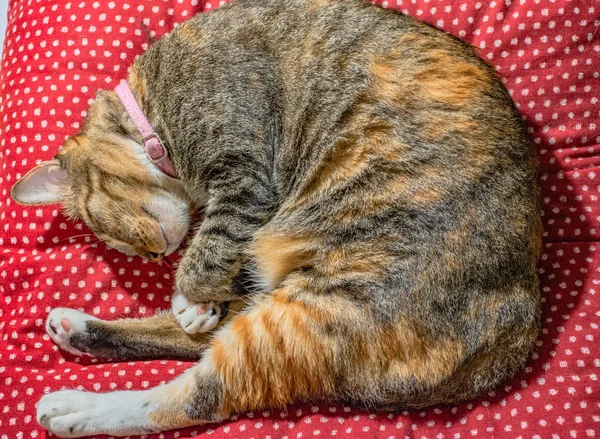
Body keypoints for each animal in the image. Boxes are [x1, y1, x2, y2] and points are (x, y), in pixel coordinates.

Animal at [11, 0, 540, 436]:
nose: (155, 255)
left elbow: (209, 250)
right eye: (126, 253)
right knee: (199, 349)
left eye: (113, 234)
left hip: (326, 307)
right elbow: (219, 258)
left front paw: (190, 295)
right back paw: (76, 328)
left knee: (192, 399)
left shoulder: (244, 174)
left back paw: (76, 408)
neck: (152, 109)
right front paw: (197, 301)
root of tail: (518, 333)